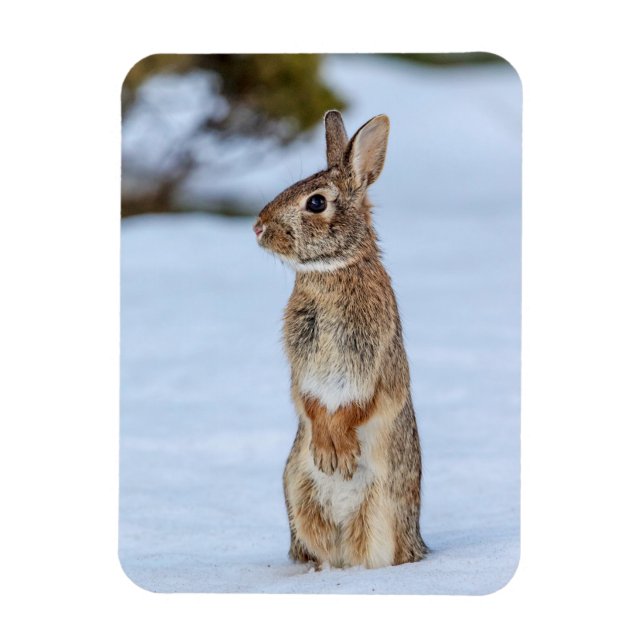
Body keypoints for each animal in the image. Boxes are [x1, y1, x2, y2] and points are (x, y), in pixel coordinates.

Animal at [253, 110, 427, 569]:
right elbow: (310, 404)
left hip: (380, 513)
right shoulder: (302, 367)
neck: (333, 270)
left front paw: (341, 455)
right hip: (299, 496)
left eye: (316, 202)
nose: (258, 226)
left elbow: (356, 406)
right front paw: (328, 452)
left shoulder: (372, 357)